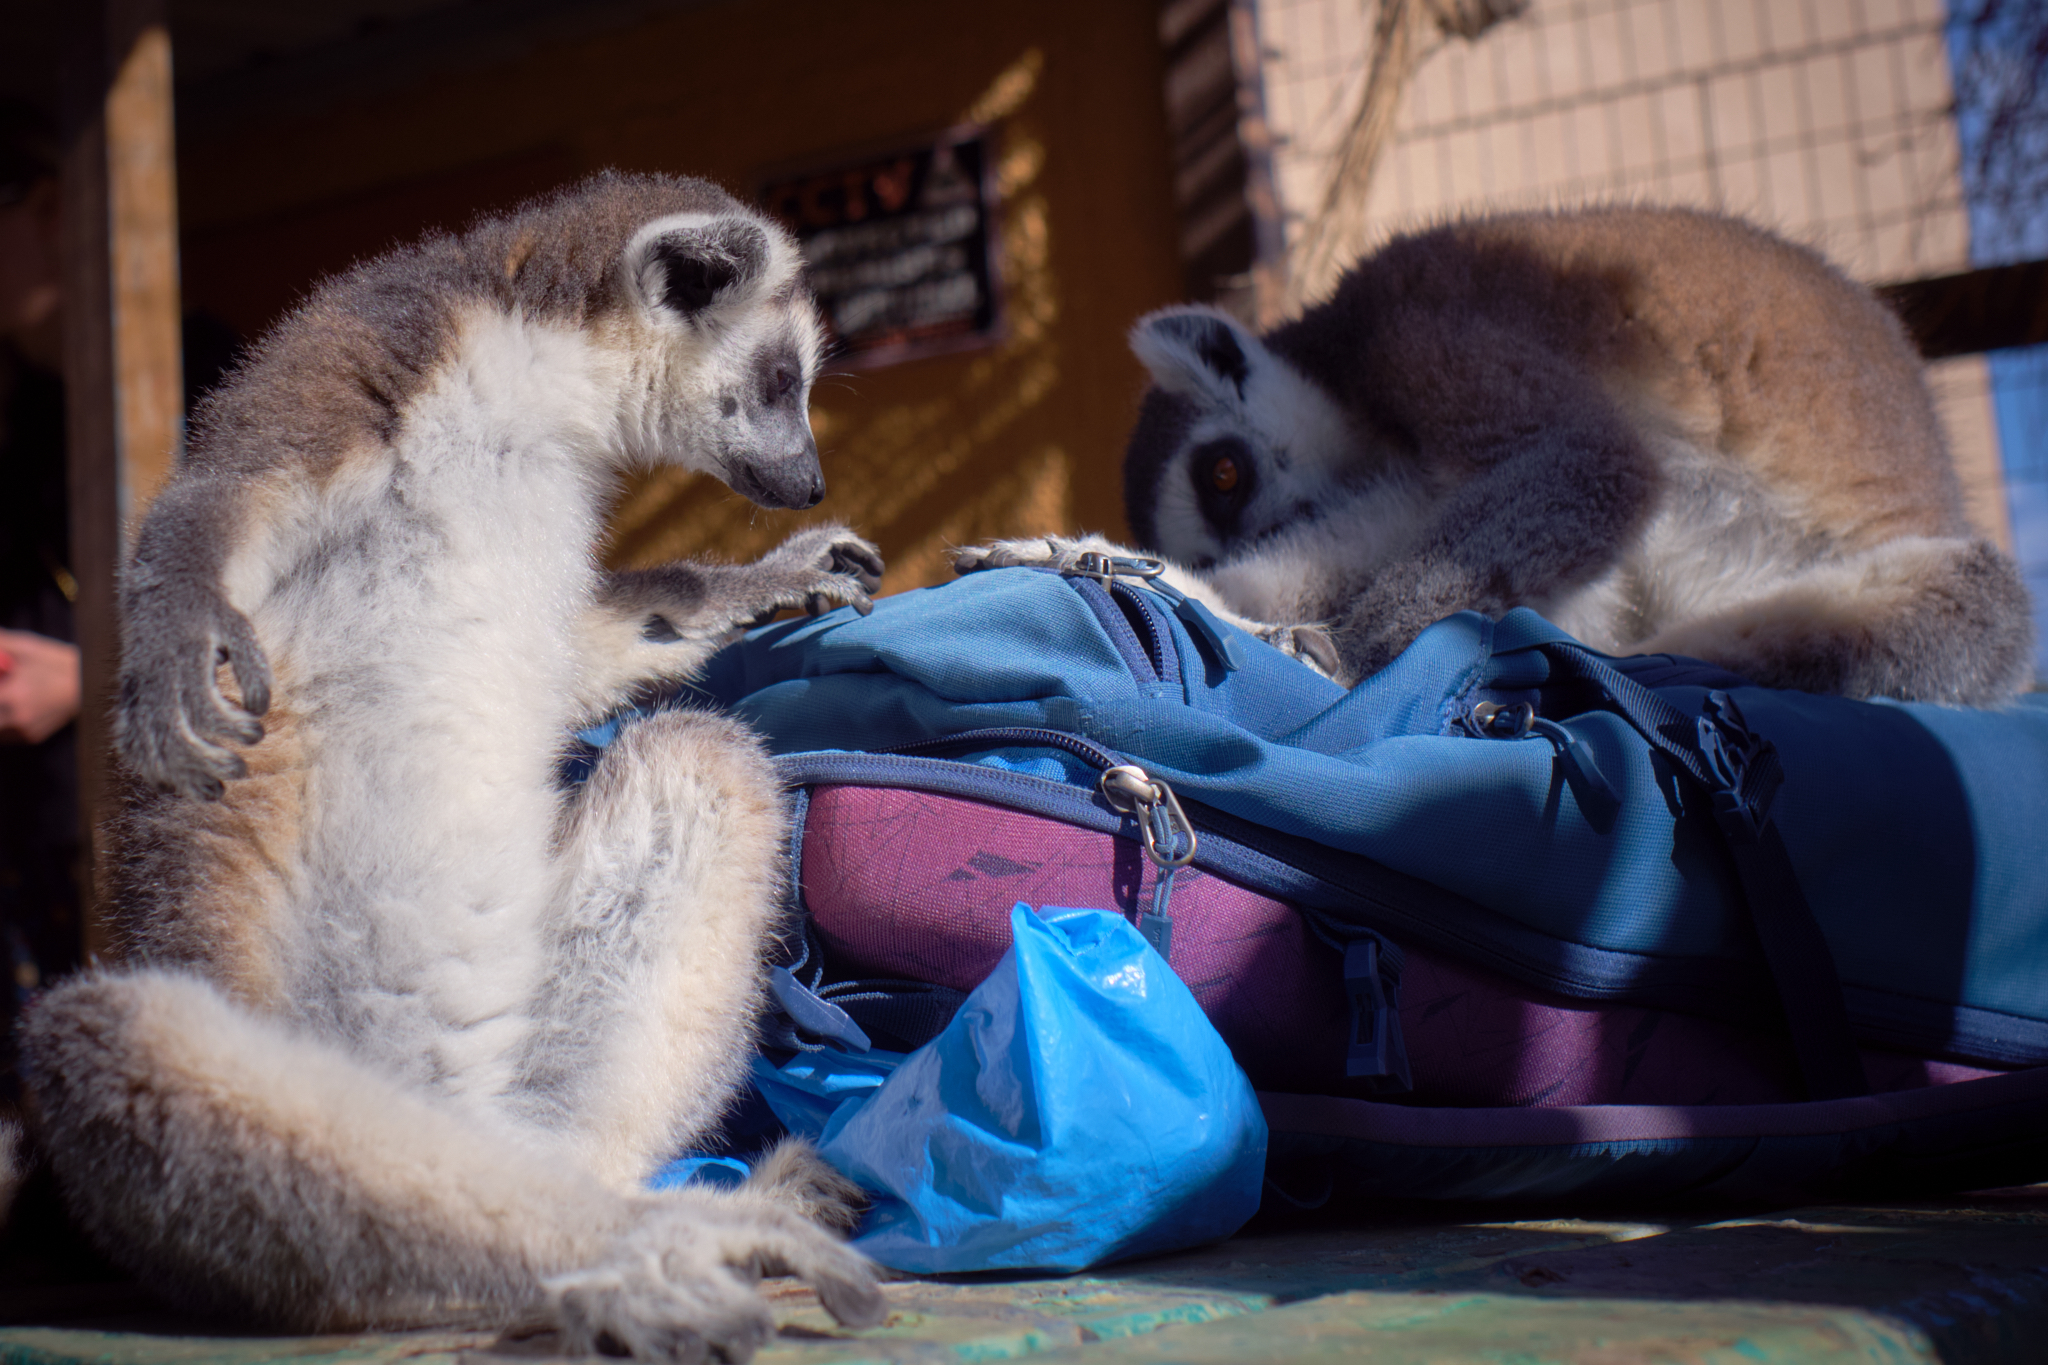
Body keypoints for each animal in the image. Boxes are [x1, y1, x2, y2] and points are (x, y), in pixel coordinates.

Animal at [17, 172, 891, 1362]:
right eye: (776, 381)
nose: (803, 479)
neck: (533, 381)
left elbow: (581, 657)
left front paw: (757, 583)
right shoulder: (370, 343)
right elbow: (222, 497)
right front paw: (175, 634)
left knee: (703, 760)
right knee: (121, 1041)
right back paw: (634, 1253)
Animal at [960, 206, 2035, 705]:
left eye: (1222, 474)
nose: (1241, 543)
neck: (1343, 362)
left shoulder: (1421, 325)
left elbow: (1594, 467)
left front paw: (1350, 661)